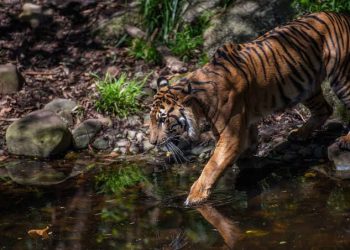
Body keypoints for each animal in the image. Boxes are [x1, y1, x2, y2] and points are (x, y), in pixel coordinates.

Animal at [149, 11, 350, 206]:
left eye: (163, 119)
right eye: (151, 120)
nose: (152, 143)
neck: (200, 104)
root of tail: (340, 15)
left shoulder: (231, 135)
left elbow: (212, 166)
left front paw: (194, 197)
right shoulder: (242, 123)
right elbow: (247, 143)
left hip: (340, 76)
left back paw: (345, 140)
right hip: (306, 87)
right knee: (325, 109)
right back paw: (299, 134)